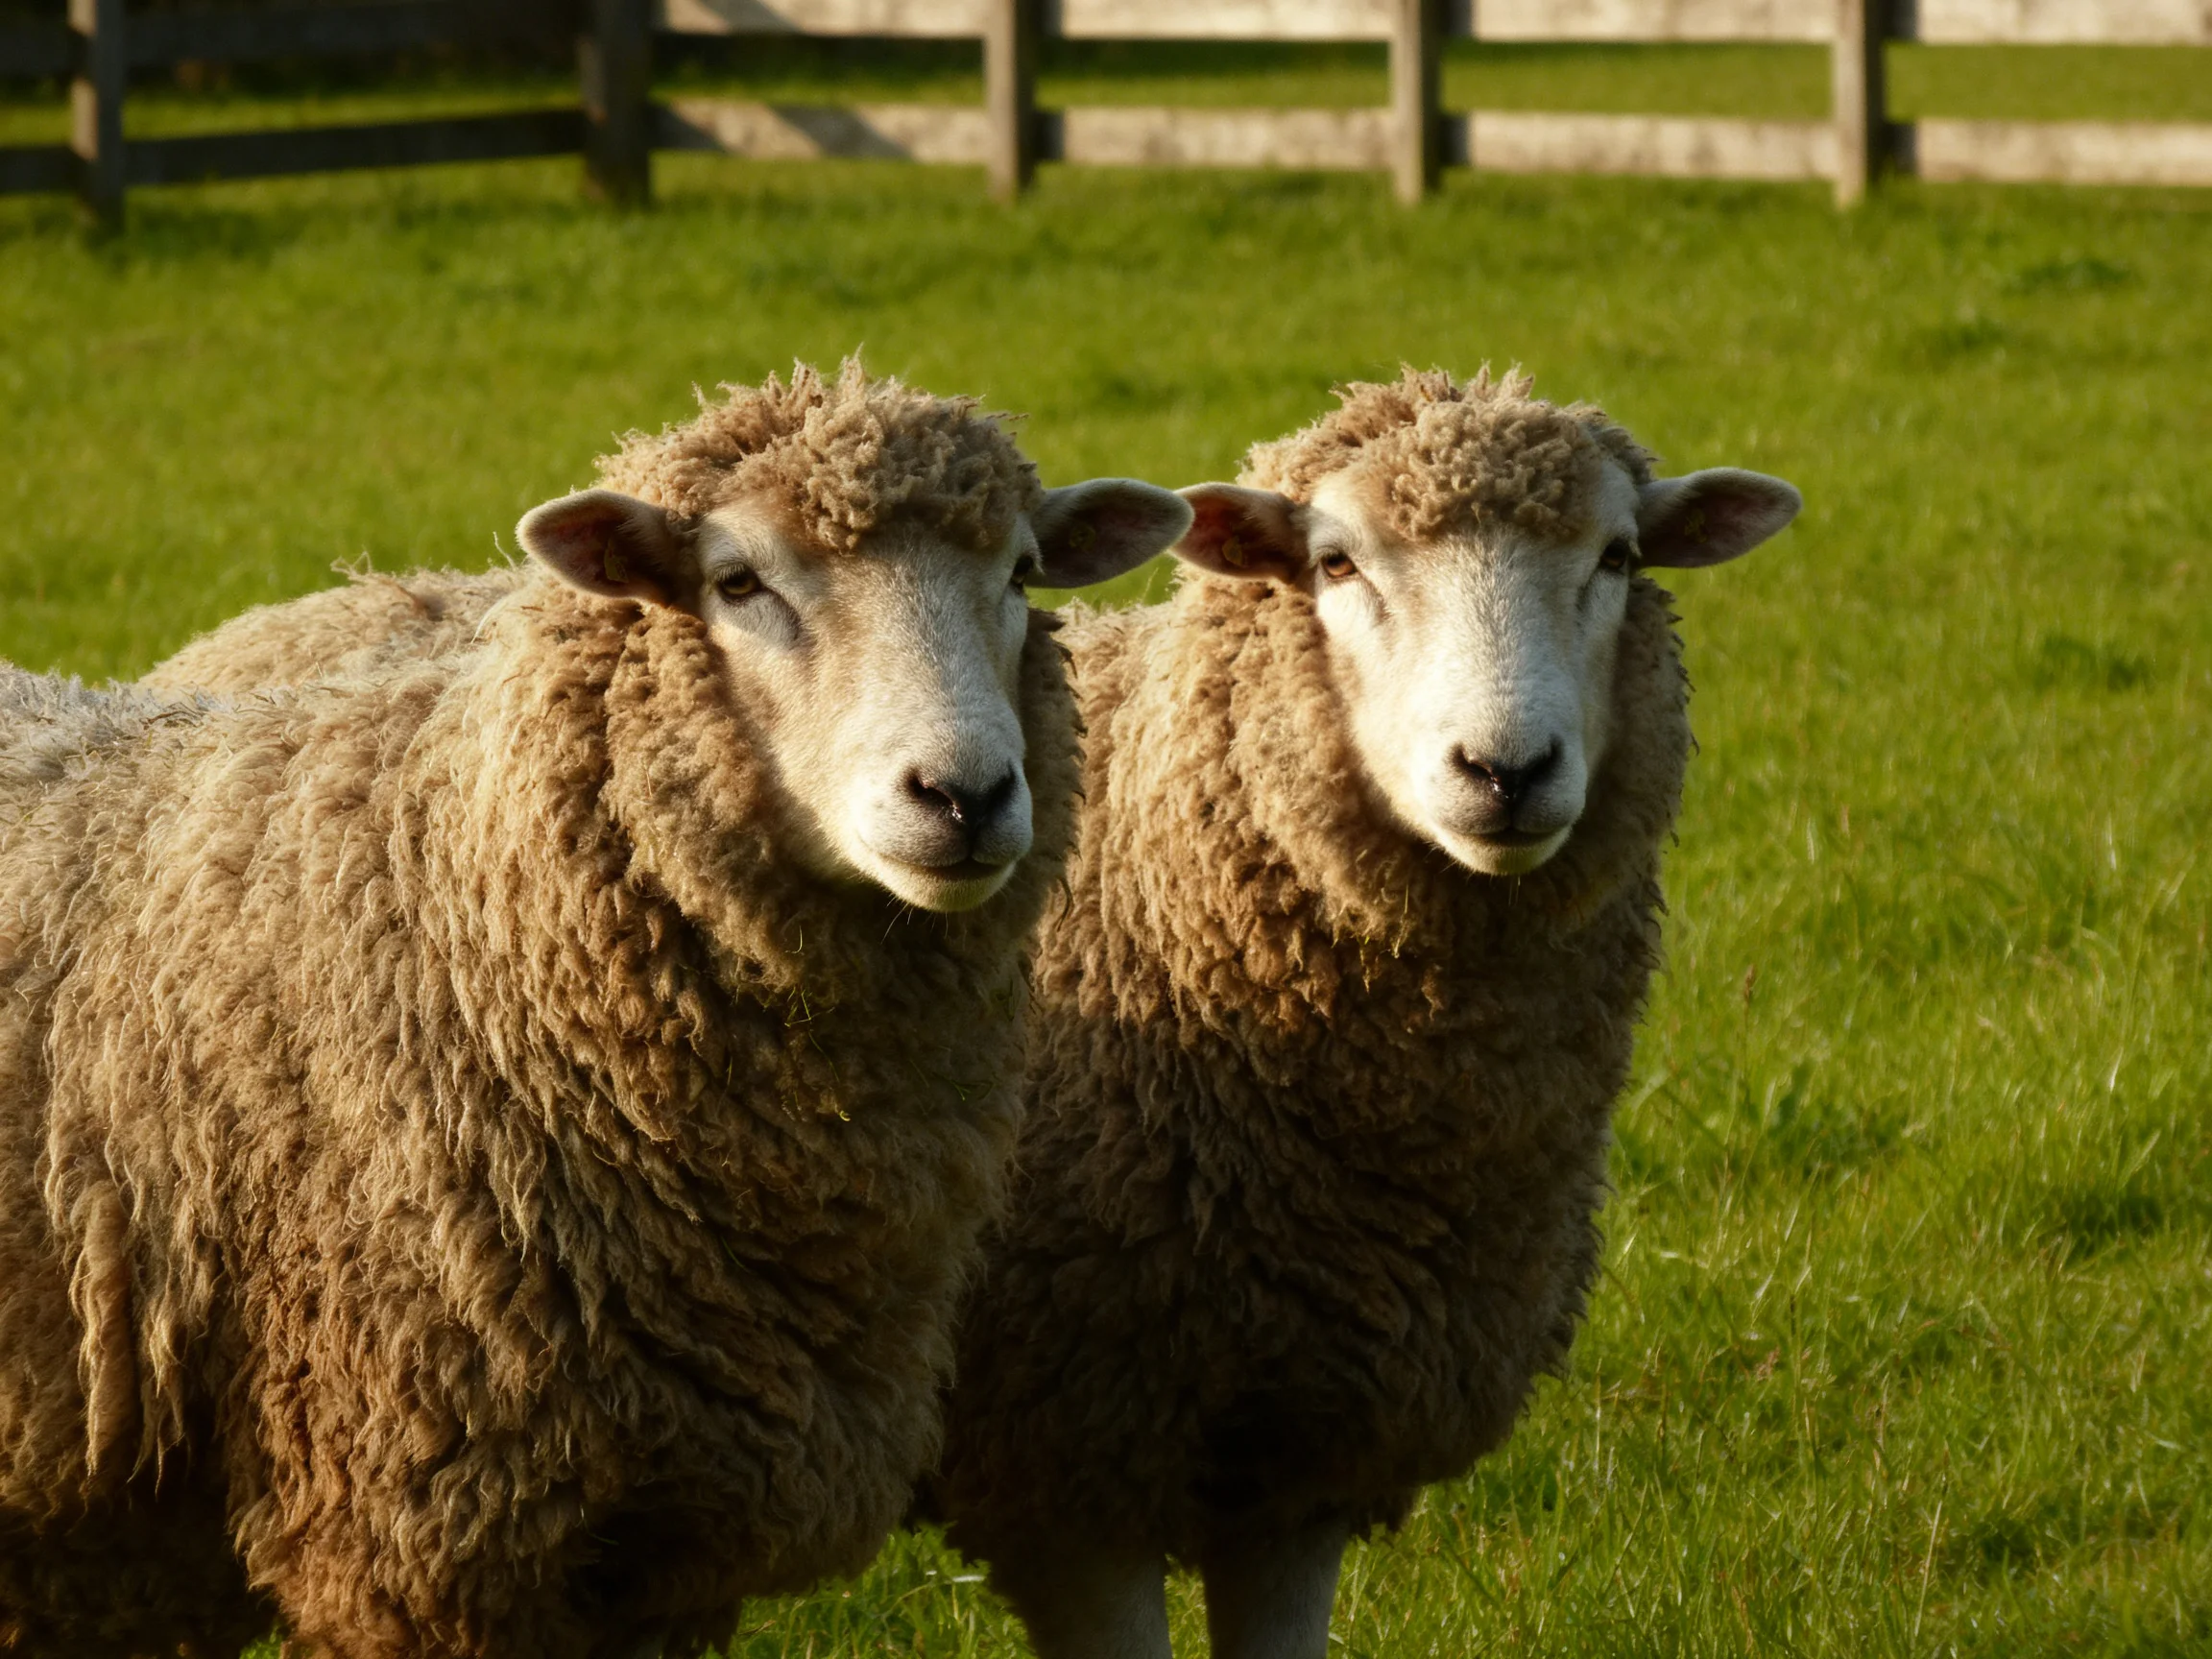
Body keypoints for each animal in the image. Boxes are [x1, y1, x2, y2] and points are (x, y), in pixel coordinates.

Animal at [0, 362, 1193, 1659]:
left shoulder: (673, 1547)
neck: (465, 902)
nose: (966, 796)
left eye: (1021, 573)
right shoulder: (417, 1529)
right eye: (737, 580)